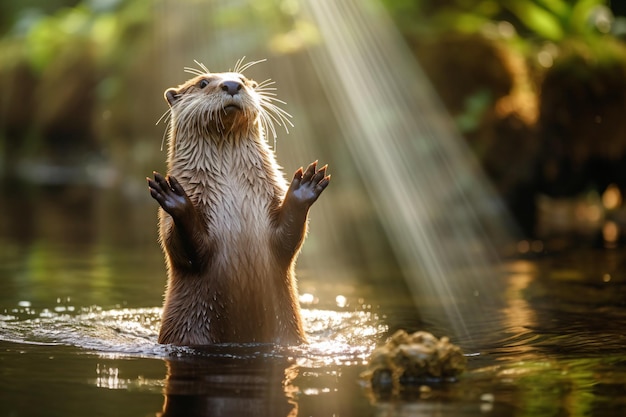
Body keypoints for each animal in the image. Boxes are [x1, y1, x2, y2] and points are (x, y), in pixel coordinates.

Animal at [147, 59, 330, 344]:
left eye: (243, 79)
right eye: (202, 82)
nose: (232, 84)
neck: (232, 187)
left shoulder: (271, 197)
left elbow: (289, 240)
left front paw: (304, 188)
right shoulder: (171, 222)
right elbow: (182, 249)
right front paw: (176, 199)